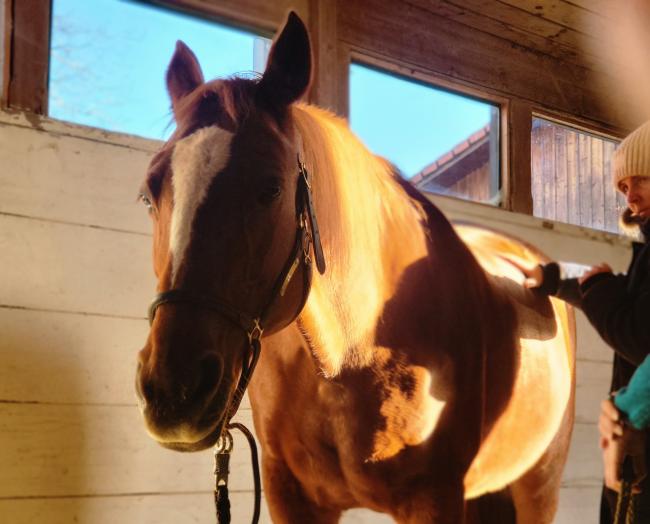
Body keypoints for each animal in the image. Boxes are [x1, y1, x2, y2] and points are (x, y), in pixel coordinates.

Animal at [135, 12, 575, 523]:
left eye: (271, 187)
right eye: (149, 194)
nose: (173, 392)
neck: (352, 353)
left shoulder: (436, 499)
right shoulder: (292, 497)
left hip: (537, 488)